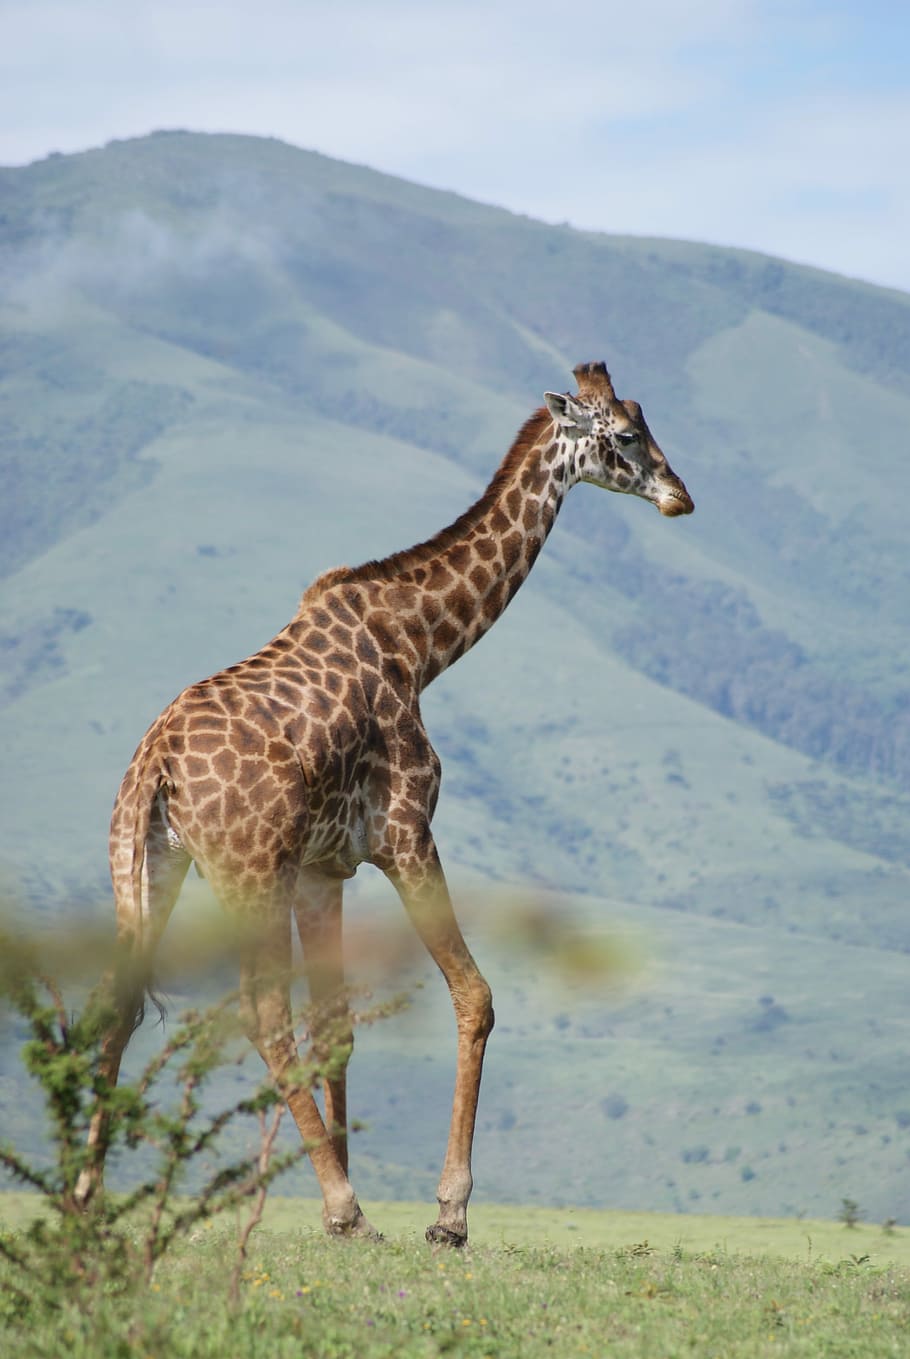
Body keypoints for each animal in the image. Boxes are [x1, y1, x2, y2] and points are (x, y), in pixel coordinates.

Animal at [76, 361, 693, 1245]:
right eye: (629, 436)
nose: (681, 496)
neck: (420, 646)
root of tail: (154, 765)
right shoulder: (406, 833)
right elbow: (474, 996)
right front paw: (446, 1212)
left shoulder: (322, 870)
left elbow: (338, 1025)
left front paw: (342, 1207)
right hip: (246, 873)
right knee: (261, 1012)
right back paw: (347, 1202)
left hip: (148, 865)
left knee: (119, 1001)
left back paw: (87, 1193)